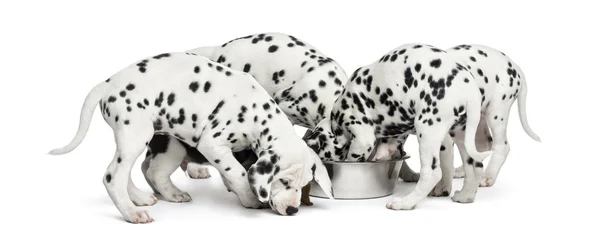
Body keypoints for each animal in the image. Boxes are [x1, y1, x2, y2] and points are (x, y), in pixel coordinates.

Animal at [49, 52, 336, 223]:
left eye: (304, 184)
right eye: (284, 181)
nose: (293, 210)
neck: (258, 114)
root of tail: (107, 83)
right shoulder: (213, 144)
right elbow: (238, 172)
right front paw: (250, 198)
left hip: (133, 139)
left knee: (125, 172)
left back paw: (144, 197)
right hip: (137, 135)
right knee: (113, 176)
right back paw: (133, 212)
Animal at [304, 43, 492, 210]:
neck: (336, 121)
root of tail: (469, 92)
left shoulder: (362, 137)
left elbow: (353, 156)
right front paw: (383, 153)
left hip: (428, 129)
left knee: (432, 173)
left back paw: (405, 203)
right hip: (461, 133)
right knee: (474, 165)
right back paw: (465, 196)